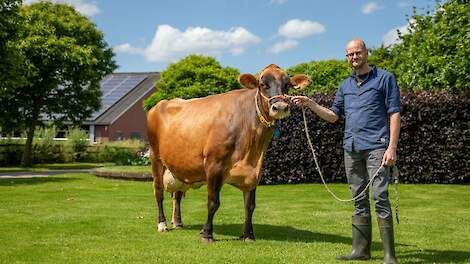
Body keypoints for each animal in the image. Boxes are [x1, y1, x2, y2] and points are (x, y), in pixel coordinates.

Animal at [146, 64, 308, 241]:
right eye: (262, 84)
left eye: (287, 85)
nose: (280, 107)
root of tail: (161, 103)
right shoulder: (213, 164)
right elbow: (213, 202)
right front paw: (207, 234)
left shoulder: (255, 171)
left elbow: (250, 205)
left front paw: (248, 235)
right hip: (156, 157)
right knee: (158, 191)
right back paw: (162, 224)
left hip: (179, 165)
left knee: (177, 194)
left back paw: (177, 222)